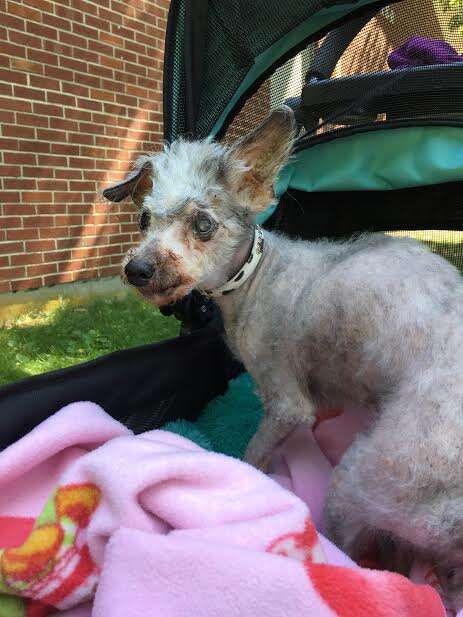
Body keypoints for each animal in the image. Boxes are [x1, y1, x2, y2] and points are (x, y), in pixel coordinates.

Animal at [103, 106, 463, 608]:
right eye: (142, 219)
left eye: (203, 225)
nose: (137, 269)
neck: (255, 276)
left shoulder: (288, 405)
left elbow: (253, 453)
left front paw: (245, 475)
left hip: (365, 478)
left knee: (355, 553)